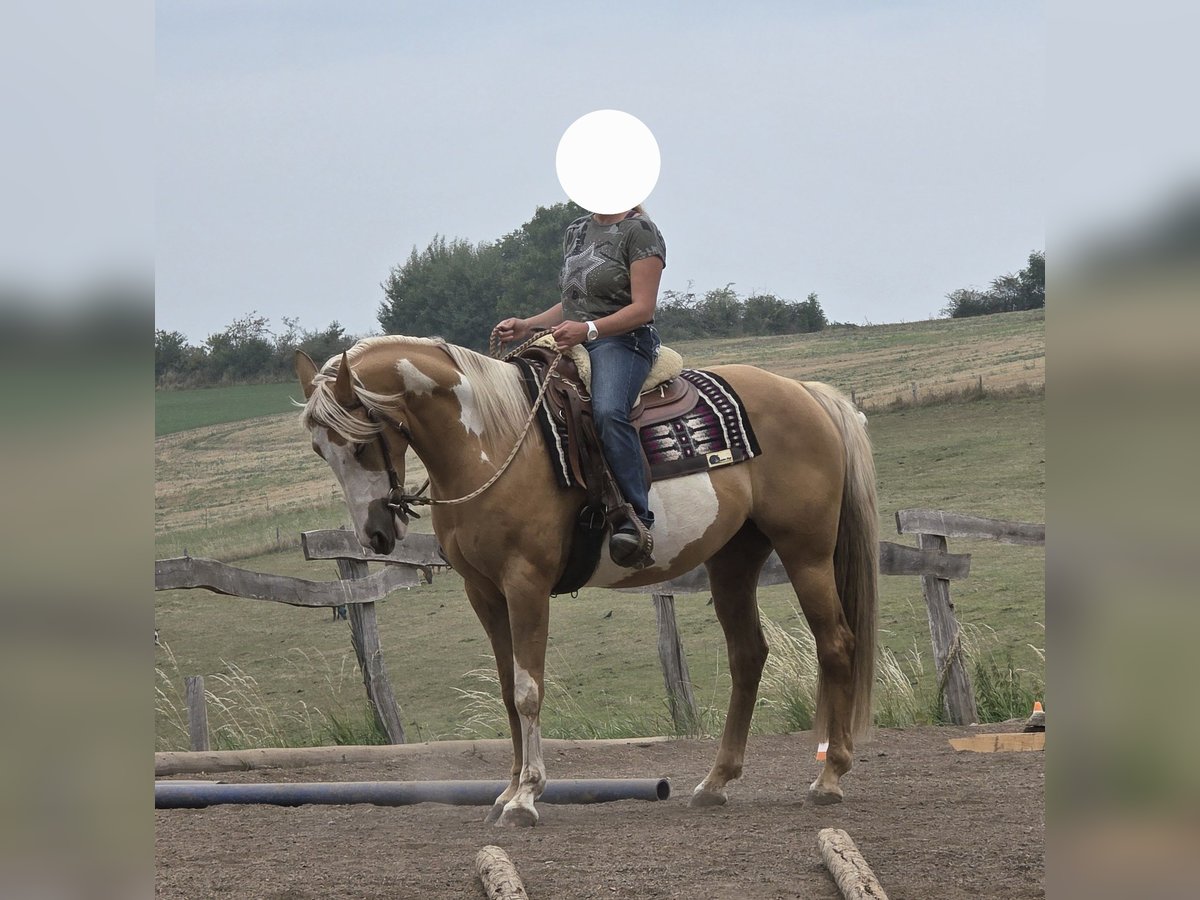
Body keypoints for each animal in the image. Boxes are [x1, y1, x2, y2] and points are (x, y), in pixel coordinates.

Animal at [295, 335, 878, 827]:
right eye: (322, 450)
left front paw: (527, 797)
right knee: (748, 656)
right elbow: (507, 689)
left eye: (362, 444)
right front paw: (506, 792)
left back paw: (829, 776)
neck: (492, 442)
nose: (374, 532)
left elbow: (528, 691)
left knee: (836, 644)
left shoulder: (525, 583)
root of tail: (806, 393)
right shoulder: (483, 592)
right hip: (733, 561)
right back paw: (715, 782)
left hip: (806, 553)